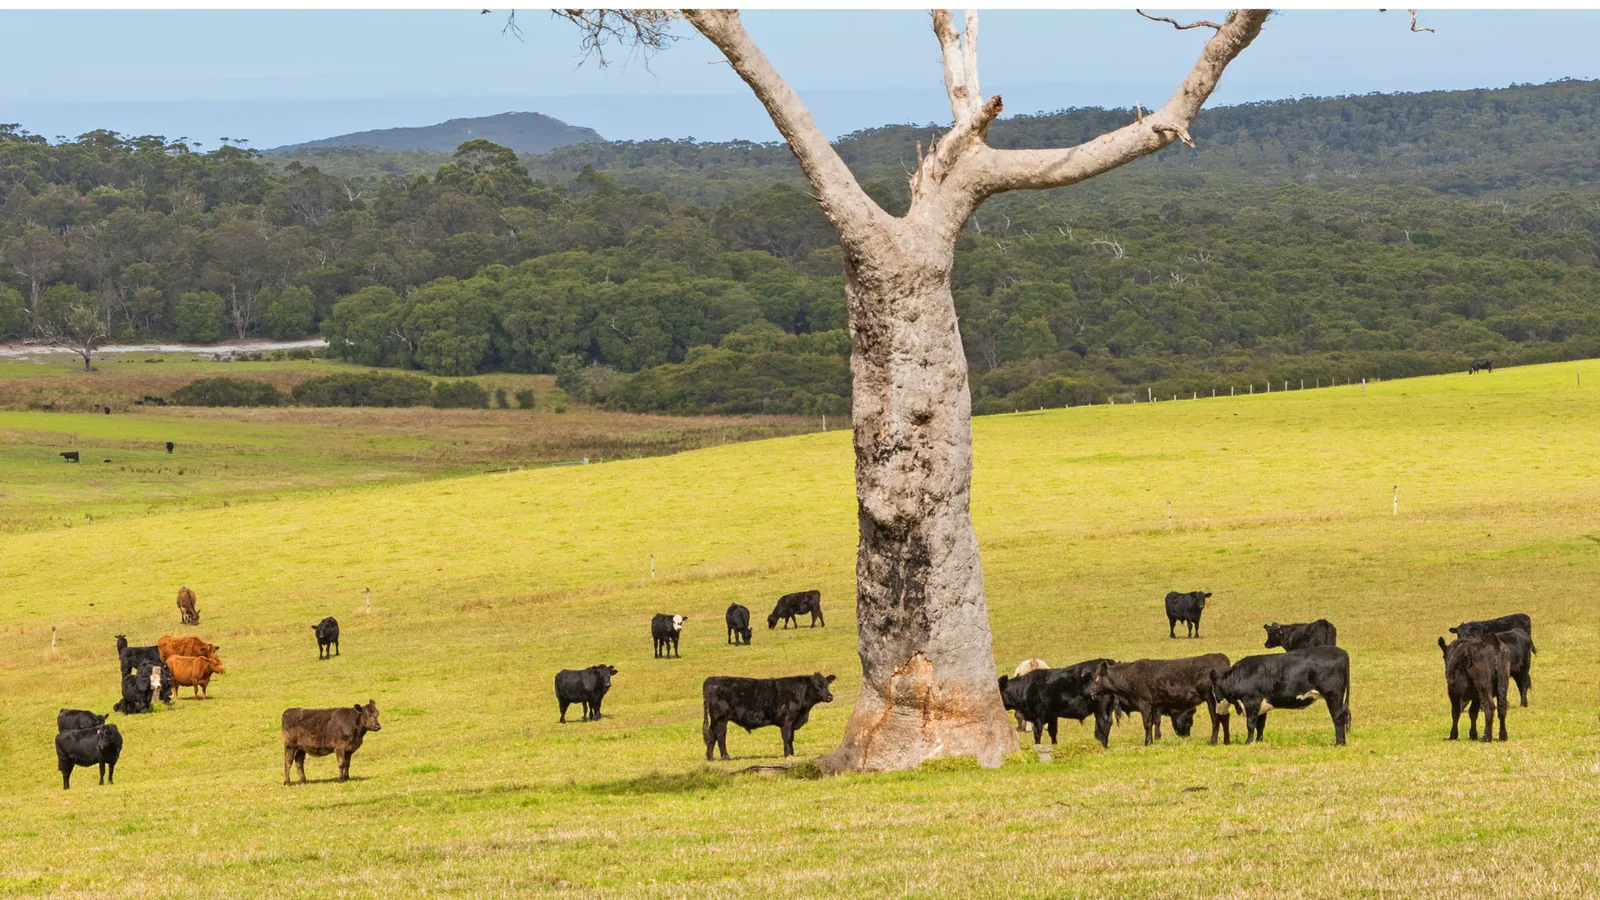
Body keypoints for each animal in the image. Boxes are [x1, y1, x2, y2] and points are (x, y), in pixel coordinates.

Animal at [702, 673, 835, 760]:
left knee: (712, 735)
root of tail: (712, 679)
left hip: (715, 719)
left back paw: (710, 757)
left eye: (827, 684)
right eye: (817, 686)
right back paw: (725, 757)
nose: (830, 697)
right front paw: (788, 755)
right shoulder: (787, 721)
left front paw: (791, 754)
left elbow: (790, 737)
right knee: (720, 735)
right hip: (721, 718)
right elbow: (788, 737)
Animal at [1086, 654, 1231, 746]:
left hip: (1211, 698)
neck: (1128, 676)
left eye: (1096, 677)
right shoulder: (1154, 705)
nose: (1087, 691)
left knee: (1216, 718)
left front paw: (1147, 742)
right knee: (1225, 717)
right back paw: (1226, 741)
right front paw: (1152, 740)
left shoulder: (1144, 703)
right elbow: (1154, 722)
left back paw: (1213, 741)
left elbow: (1147, 723)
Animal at [1215, 646, 1352, 746]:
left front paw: (1248, 742)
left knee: (1338, 716)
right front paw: (1258, 741)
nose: (1217, 711)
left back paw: (1338, 743)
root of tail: (1342, 652)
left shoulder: (1252, 701)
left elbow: (1251, 724)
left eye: (1215, 693)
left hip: (1333, 695)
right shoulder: (1262, 705)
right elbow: (1260, 725)